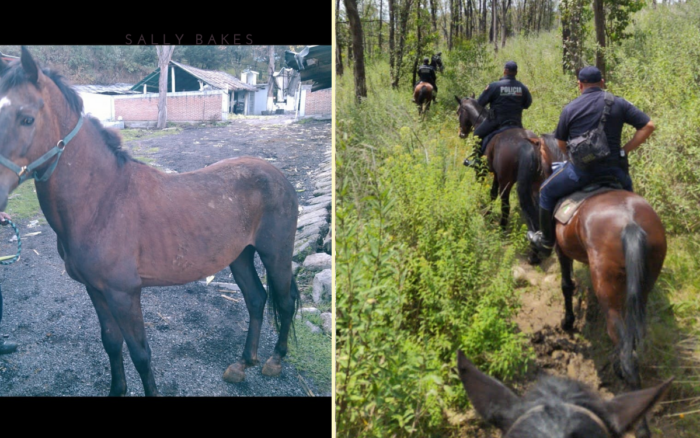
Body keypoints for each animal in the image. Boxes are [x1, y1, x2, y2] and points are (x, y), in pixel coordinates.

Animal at [0, 47, 300, 396]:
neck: (101, 202)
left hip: (275, 255)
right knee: (256, 299)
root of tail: (277, 175)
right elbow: (111, 343)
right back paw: (243, 363)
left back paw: (275, 360)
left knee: (285, 301)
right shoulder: (96, 290)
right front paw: (117, 390)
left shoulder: (125, 294)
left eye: (27, 118)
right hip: (240, 255)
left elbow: (140, 353)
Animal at [455, 95, 543, 263]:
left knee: (506, 205)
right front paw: (488, 213)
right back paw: (535, 254)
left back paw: (502, 230)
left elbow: (481, 187)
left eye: (458, 112)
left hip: (506, 182)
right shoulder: (496, 175)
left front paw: (478, 204)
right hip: (534, 185)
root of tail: (528, 145)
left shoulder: (482, 171)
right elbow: (492, 194)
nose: (461, 134)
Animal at [531, 133, 668, 437]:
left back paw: (639, 421)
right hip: (643, 286)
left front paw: (568, 322)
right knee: (633, 339)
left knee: (625, 347)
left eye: (534, 159)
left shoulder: (562, 251)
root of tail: (630, 223)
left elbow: (566, 285)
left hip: (609, 290)